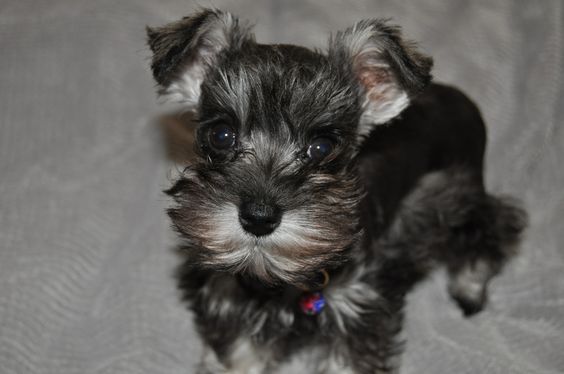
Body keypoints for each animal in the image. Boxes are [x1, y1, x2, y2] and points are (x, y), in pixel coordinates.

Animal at [145, 9, 524, 374]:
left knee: (492, 228)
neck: (278, 281)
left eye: (321, 146)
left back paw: (470, 286)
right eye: (222, 135)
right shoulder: (231, 300)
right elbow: (238, 351)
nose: (259, 217)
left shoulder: (358, 309)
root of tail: (461, 100)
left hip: (458, 195)